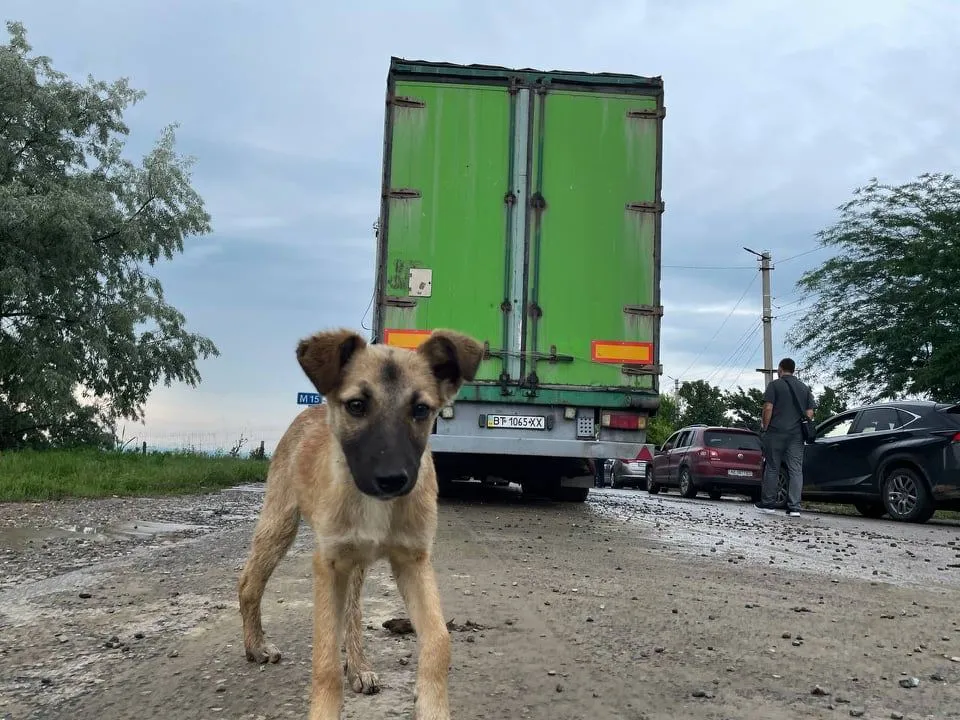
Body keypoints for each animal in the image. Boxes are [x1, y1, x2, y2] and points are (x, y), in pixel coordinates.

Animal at [237, 330, 484, 720]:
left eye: (421, 410)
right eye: (356, 406)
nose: (392, 480)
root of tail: (311, 408)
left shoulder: (413, 561)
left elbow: (439, 641)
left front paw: (432, 708)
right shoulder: (328, 562)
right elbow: (324, 657)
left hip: (356, 563)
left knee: (353, 612)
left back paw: (358, 666)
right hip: (280, 523)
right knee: (249, 583)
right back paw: (256, 645)